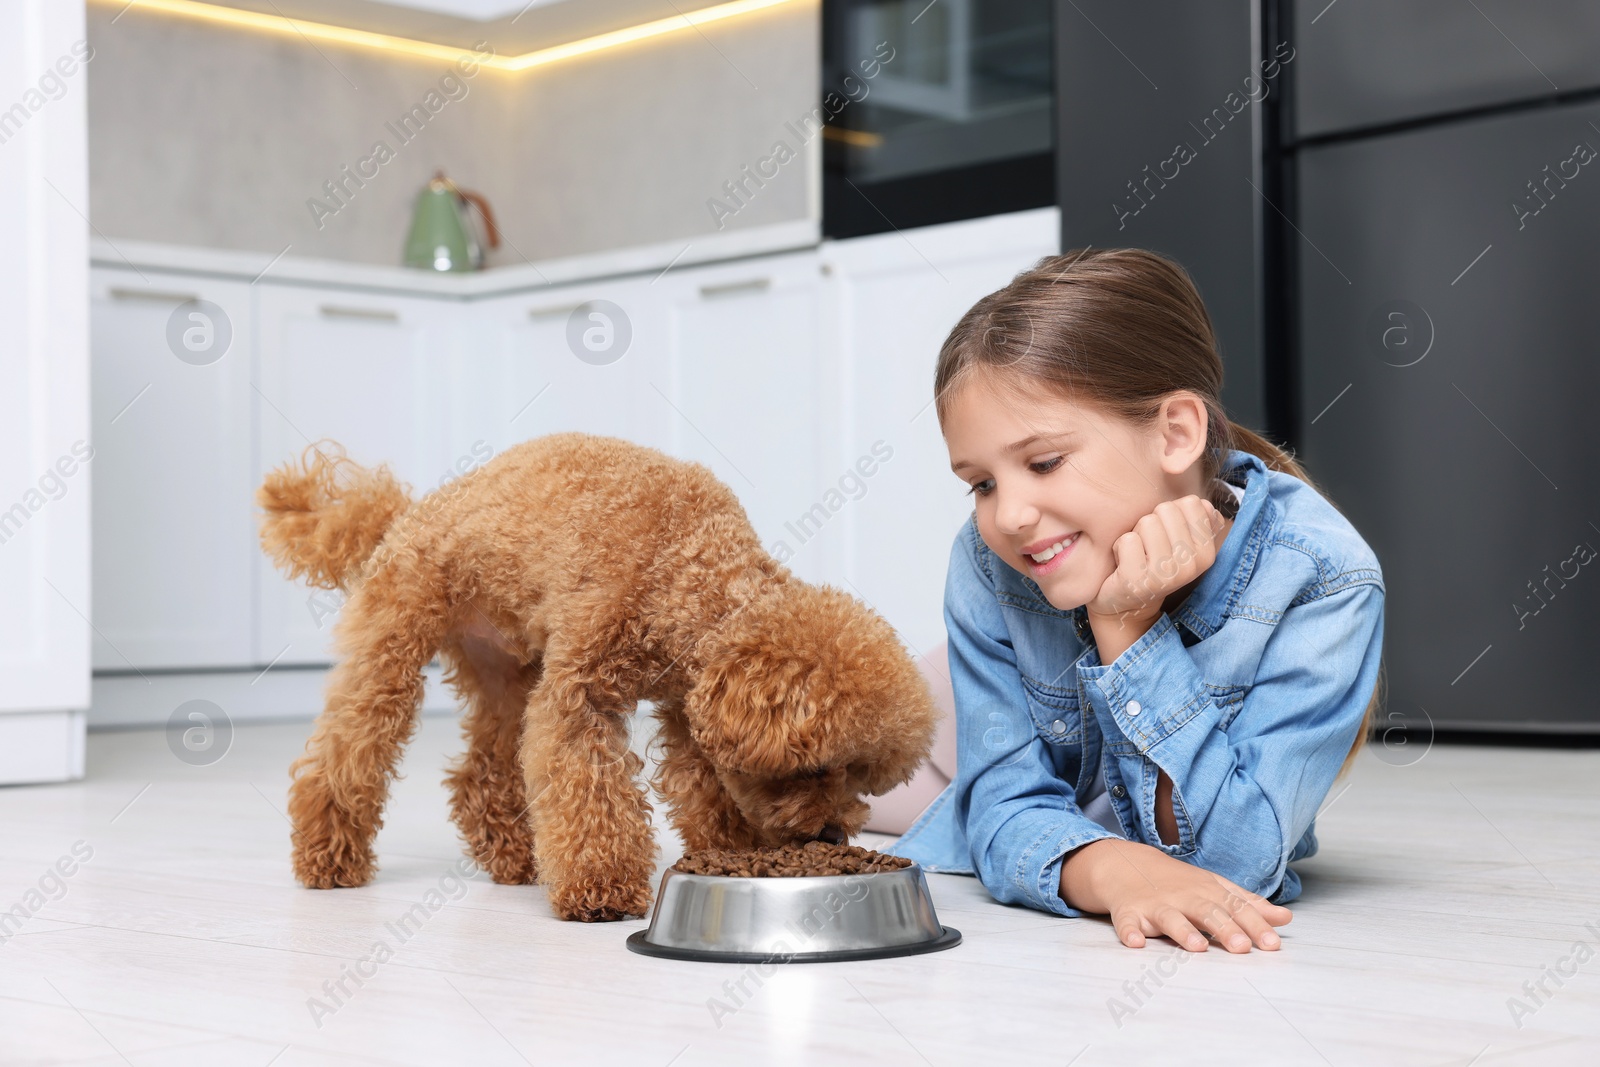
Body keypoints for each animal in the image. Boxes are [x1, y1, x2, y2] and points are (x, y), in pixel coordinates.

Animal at [256, 428, 940, 921]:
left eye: (858, 775)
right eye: (811, 769)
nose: (832, 831)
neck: (686, 568)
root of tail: (407, 514)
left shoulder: (686, 708)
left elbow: (706, 788)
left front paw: (732, 851)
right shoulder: (578, 693)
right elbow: (589, 790)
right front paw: (602, 888)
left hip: (506, 673)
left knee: (483, 773)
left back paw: (514, 857)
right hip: (394, 647)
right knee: (346, 753)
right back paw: (329, 859)